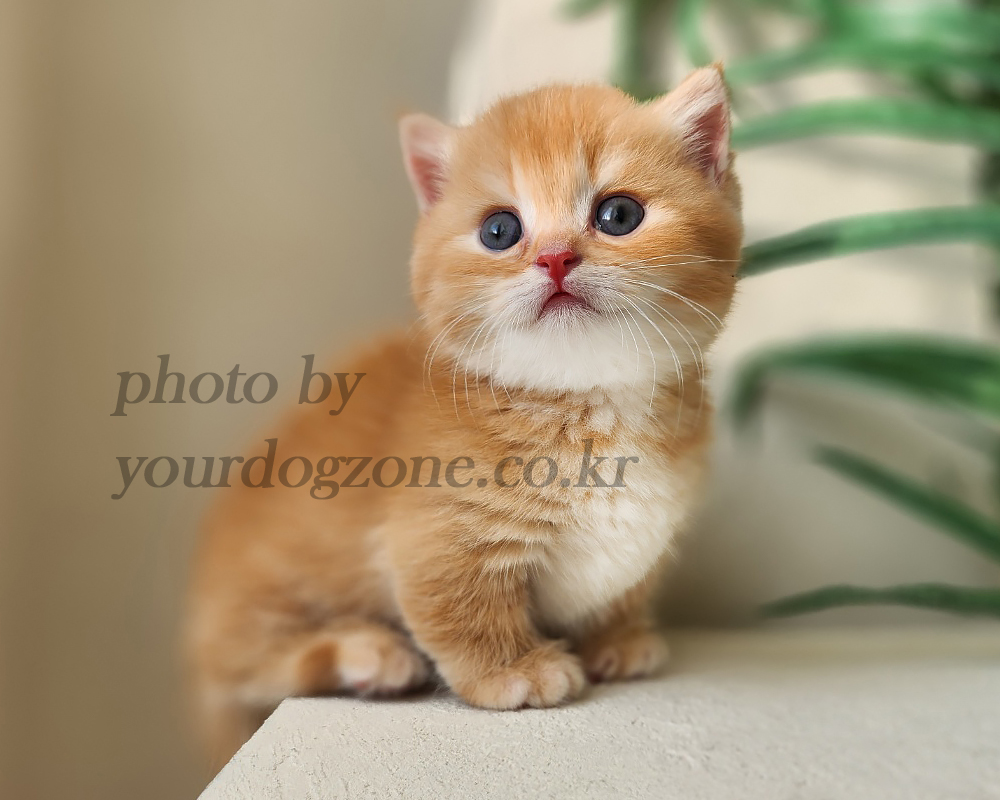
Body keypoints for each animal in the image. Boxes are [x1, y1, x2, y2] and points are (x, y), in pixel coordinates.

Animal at [186, 65, 742, 765]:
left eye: (619, 215)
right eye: (500, 231)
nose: (555, 257)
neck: (590, 400)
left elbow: (625, 584)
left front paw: (618, 637)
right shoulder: (434, 534)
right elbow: (462, 607)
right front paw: (514, 670)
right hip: (261, 598)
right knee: (245, 665)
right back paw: (364, 654)